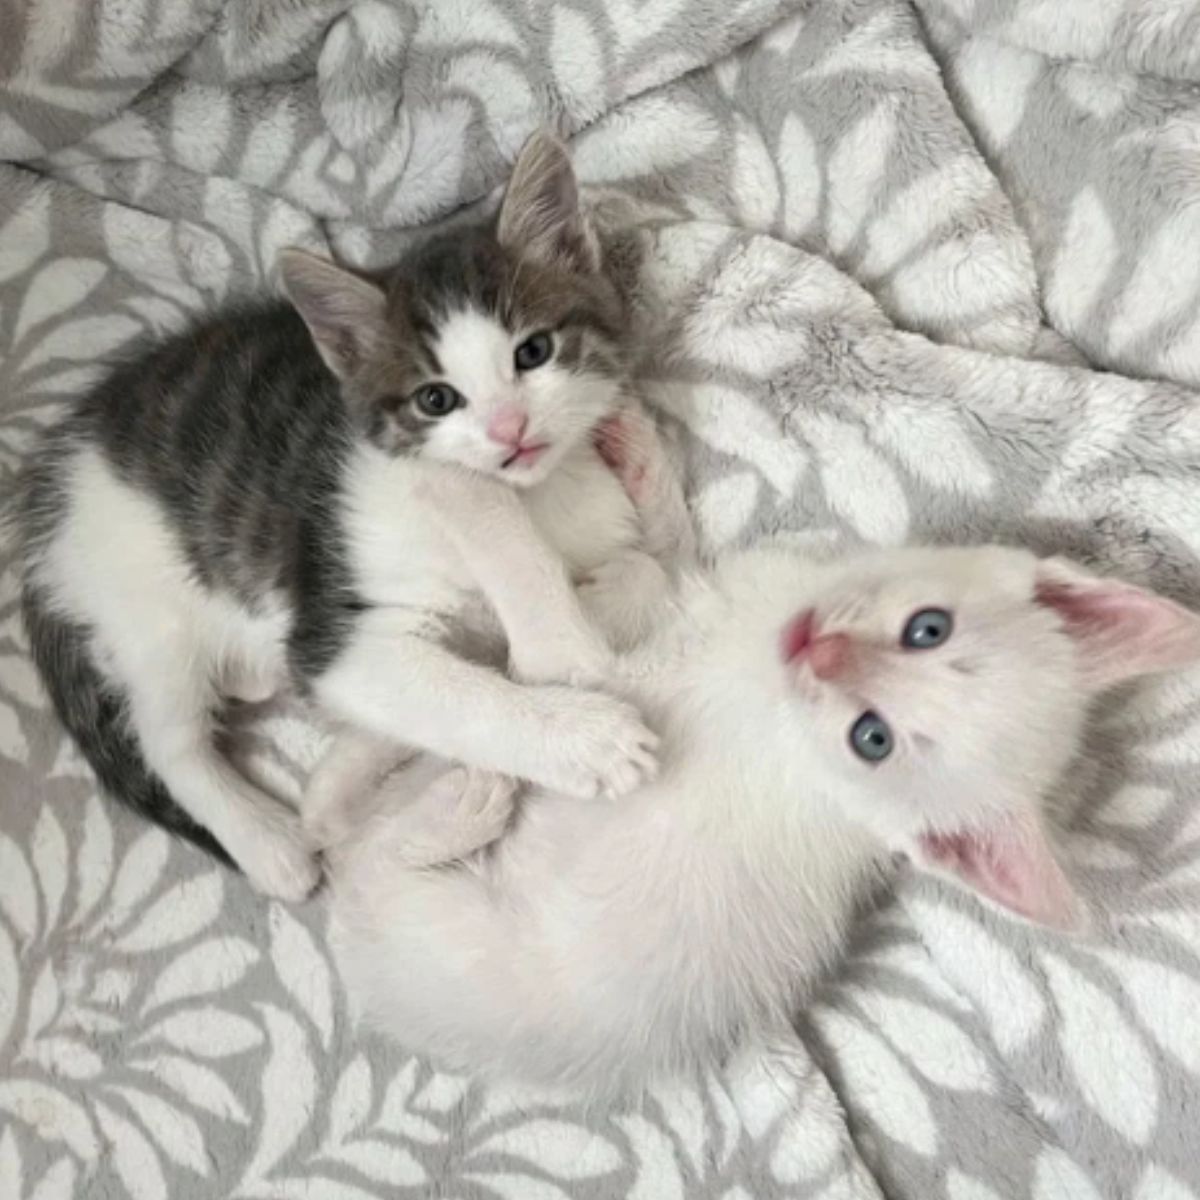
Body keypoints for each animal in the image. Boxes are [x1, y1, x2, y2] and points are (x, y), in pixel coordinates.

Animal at [16, 133, 657, 902]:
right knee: (167, 739)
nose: (509, 429)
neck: (537, 496)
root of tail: (47, 489)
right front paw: (585, 737)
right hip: (144, 599)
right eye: (436, 399)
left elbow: (643, 572)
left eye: (533, 352)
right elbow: (459, 696)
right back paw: (268, 844)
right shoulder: (331, 635)